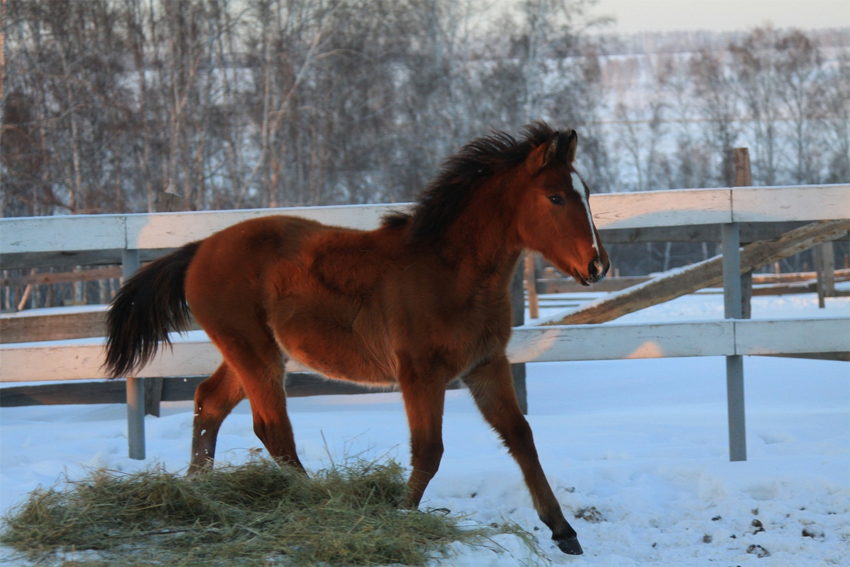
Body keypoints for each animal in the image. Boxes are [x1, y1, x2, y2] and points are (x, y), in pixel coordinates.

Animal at [106, 123, 608, 556]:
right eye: (555, 196)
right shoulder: (420, 372)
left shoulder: (486, 365)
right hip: (254, 351)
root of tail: (198, 251)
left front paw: (563, 530)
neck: (450, 272)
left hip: (253, 351)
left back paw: (200, 488)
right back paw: (312, 500)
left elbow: (520, 435)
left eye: (585, 193)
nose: (598, 266)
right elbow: (429, 449)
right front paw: (400, 518)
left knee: (209, 402)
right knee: (272, 428)